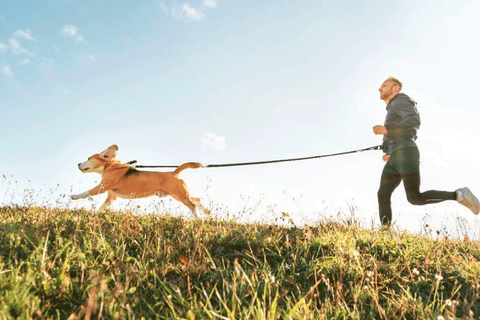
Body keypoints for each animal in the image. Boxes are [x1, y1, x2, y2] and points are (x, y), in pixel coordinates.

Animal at [71, 146, 206, 218]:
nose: (78, 164)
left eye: (88, 158)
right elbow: (101, 207)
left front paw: (74, 196)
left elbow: (86, 192)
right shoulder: (111, 197)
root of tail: (175, 172)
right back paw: (207, 213)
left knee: (192, 205)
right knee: (197, 199)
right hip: (178, 195)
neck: (109, 166)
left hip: (180, 195)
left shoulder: (102, 187)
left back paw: (197, 219)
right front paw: (95, 214)